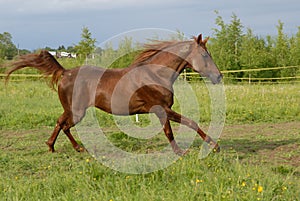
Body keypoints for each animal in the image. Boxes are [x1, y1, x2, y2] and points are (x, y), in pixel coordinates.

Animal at [4, 33, 220, 155]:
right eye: (204, 55)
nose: (218, 77)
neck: (155, 74)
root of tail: (65, 72)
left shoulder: (162, 110)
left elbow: (178, 127)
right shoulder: (162, 109)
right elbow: (184, 125)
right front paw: (205, 147)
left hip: (72, 110)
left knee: (60, 123)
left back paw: (61, 147)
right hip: (76, 111)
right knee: (63, 125)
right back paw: (66, 147)